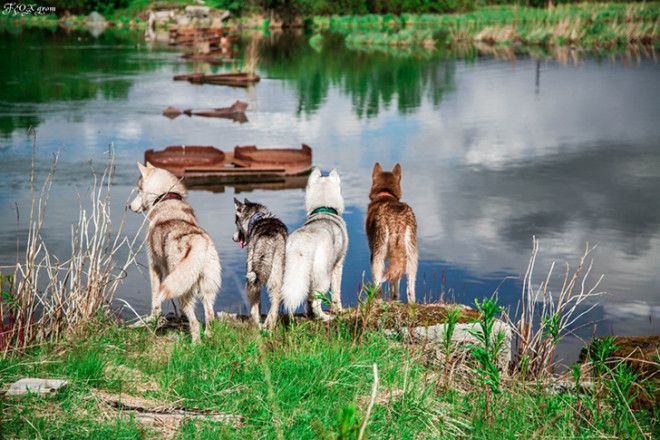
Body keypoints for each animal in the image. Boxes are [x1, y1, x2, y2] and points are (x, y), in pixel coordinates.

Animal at [129, 163, 222, 342]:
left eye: (138, 190)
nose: (129, 207)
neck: (166, 197)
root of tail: (198, 242)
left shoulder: (154, 267)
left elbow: (155, 300)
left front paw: (152, 320)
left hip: (183, 290)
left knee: (195, 322)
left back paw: (196, 344)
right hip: (206, 289)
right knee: (210, 315)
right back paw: (208, 337)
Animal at [233, 198, 288, 328]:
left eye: (235, 222)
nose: (233, 238)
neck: (257, 217)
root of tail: (267, 238)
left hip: (250, 276)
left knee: (255, 306)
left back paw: (258, 324)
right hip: (274, 276)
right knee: (274, 303)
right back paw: (269, 325)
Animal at [282, 168, 348, 320]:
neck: (323, 208)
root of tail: (302, 241)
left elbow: (307, 299)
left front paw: (308, 315)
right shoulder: (338, 265)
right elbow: (336, 293)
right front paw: (338, 310)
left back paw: (292, 320)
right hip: (324, 278)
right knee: (316, 302)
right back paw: (325, 317)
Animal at [366, 162, 418, 302]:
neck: (386, 194)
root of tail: (397, 220)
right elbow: (395, 281)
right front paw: (395, 299)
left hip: (377, 257)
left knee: (377, 286)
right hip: (412, 257)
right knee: (410, 290)